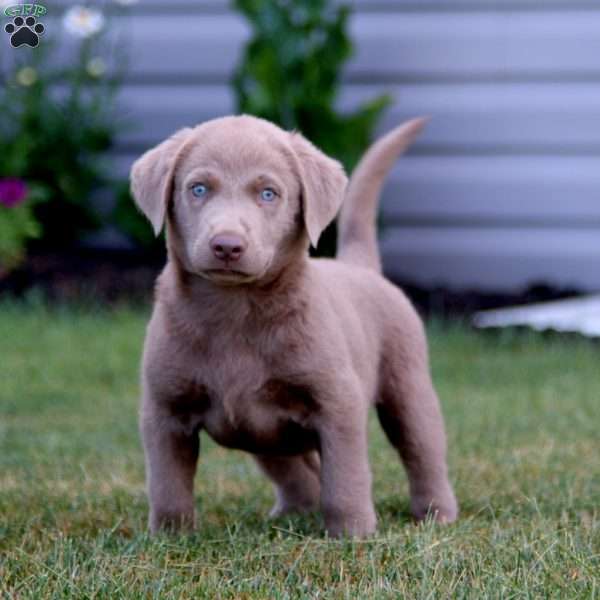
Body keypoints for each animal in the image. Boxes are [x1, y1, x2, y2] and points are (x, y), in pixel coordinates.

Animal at [131, 115, 458, 536]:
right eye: (198, 189)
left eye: (269, 194)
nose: (227, 245)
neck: (236, 310)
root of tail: (358, 265)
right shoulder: (165, 409)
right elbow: (167, 483)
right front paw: (170, 536)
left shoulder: (338, 402)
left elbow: (346, 477)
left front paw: (353, 533)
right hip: (263, 432)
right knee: (298, 470)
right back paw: (295, 511)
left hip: (408, 385)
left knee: (422, 450)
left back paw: (436, 512)